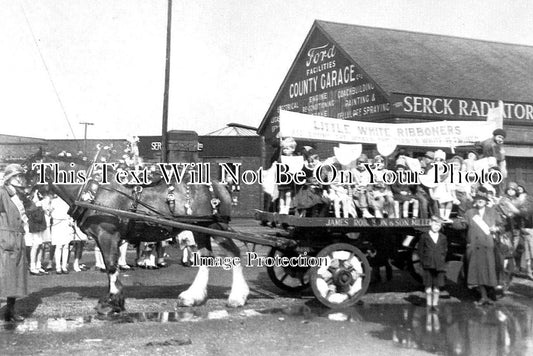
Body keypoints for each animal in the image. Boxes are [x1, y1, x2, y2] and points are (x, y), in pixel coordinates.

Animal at [23, 149, 249, 316]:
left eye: (29, 169)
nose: (23, 196)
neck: (94, 191)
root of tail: (219, 184)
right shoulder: (104, 238)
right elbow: (110, 266)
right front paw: (112, 298)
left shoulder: (108, 235)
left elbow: (111, 266)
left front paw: (112, 302)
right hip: (201, 230)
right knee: (205, 258)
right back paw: (192, 297)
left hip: (215, 228)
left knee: (234, 253)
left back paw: (237, 297)